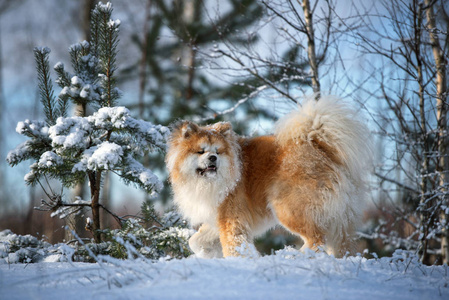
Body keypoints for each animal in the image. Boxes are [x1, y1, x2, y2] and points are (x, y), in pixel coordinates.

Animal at [164, 96, 372, 258]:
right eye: (201, 151)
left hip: (289, 208)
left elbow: (234, 245)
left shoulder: (231, 217)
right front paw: (207, 253)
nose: (213, 158)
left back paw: (293, 256)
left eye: (217, 151)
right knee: (340, 243)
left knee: (317, 239)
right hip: (341, 218)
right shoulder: (216, 217)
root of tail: (320, 146)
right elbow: (195, 241)